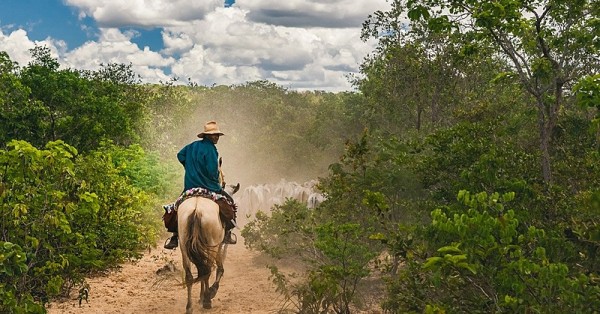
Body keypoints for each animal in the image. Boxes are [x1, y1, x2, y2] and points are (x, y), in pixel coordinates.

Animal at [177, 184, 238, 312]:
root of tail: (196, 210)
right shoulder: (219, 245)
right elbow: (220, 269)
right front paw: (210, 292)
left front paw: (201, 297)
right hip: (212, 244)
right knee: (207, 271)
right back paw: (207, 301)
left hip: (184, 246)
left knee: (190, 275)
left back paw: (189, 307)